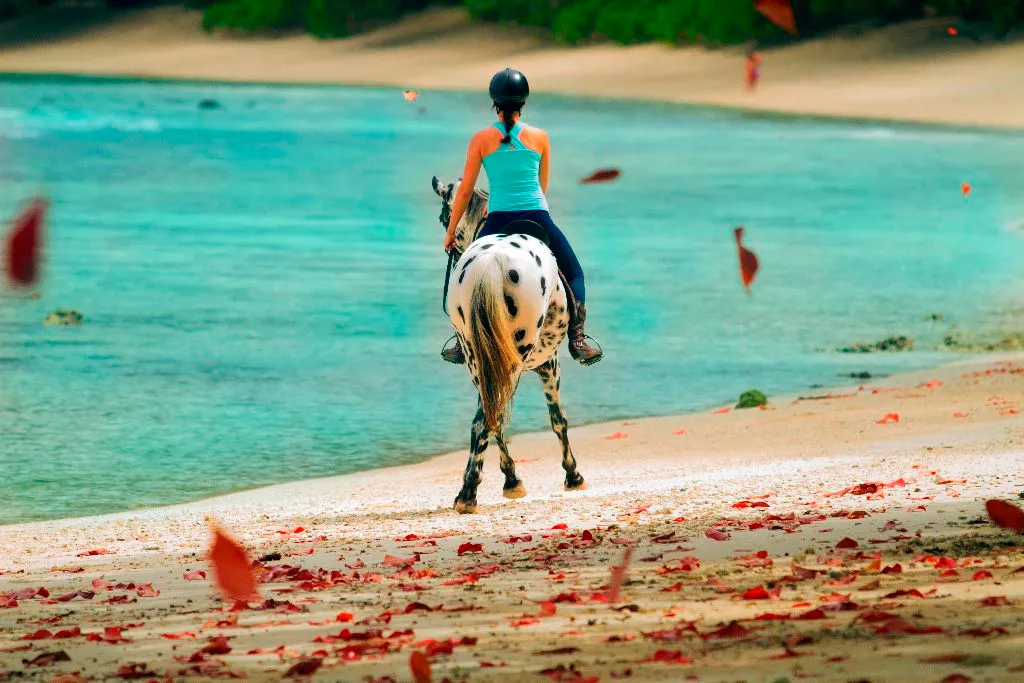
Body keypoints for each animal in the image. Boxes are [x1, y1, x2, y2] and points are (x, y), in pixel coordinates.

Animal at [432, 175, 587, 514]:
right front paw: (573, 475)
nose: (449, 248)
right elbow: (558, 419)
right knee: (491, 416)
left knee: (489, 416)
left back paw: (472, 491)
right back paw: (472, 493)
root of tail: (493, 262)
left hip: (478, 358)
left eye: (442, 217)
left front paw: (511, 480)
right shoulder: (550, 362)